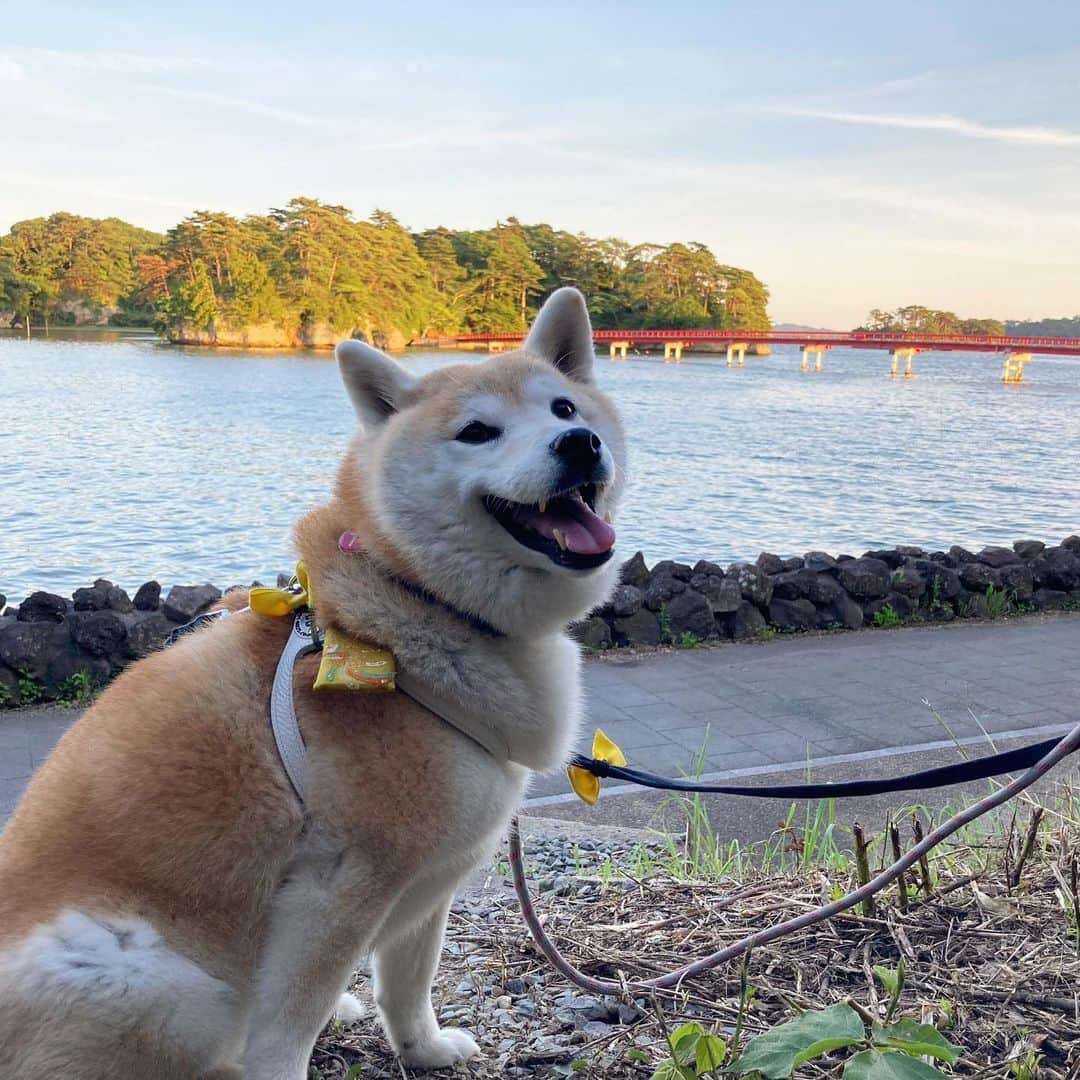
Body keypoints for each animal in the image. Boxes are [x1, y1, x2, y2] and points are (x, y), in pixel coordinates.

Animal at [0, 287, 626, 1080]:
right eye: (478, 432)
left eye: (564, 409)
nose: (579, 445)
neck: (420, 608)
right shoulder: (337, 886)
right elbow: (288, 1026)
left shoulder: (431, 879)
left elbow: (409, 983)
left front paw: (423, 1050)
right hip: (156, 975)